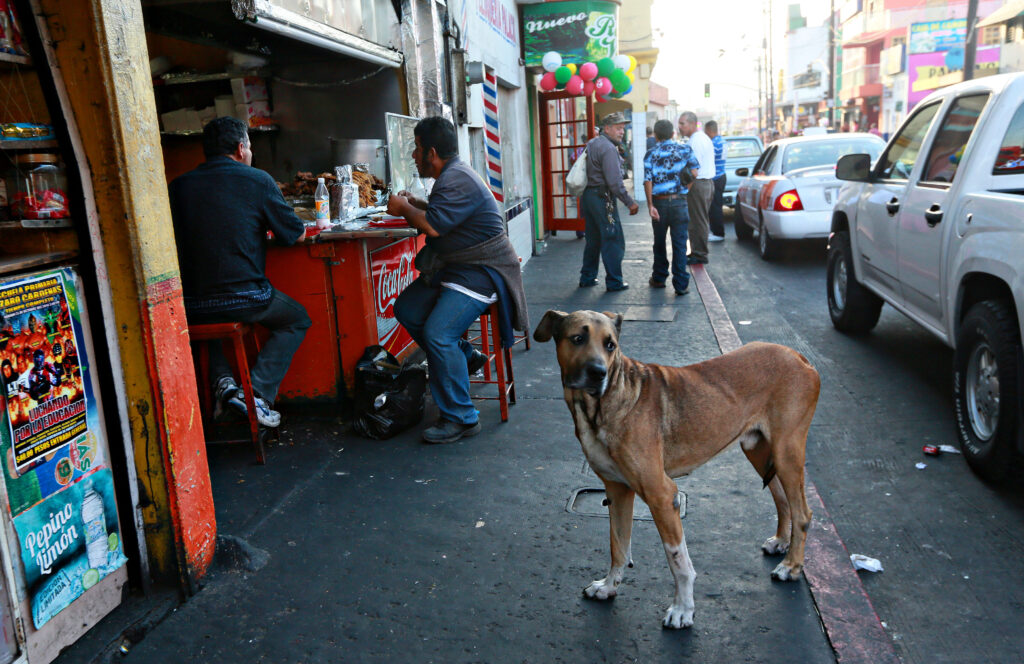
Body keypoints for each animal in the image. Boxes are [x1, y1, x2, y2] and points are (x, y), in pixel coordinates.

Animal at [532, 309, 819, 627]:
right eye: (577, 339)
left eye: (610, 345)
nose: (598, 373)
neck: (603, 405)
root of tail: (798, 355)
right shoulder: (617, 490)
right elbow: (618, 545)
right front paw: (608, 586)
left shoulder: (661, 494)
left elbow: (678, 561)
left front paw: (683, 609)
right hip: (757, 449)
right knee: (783, 499)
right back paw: (781, 541)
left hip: (786, 452)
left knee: (803, 512)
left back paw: (791, 566)